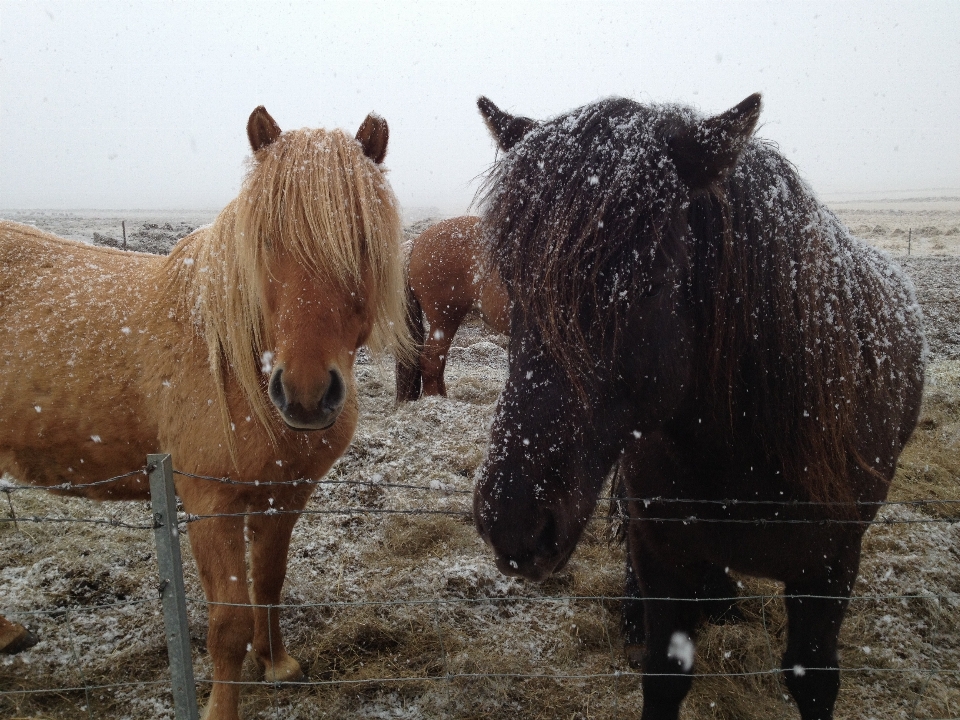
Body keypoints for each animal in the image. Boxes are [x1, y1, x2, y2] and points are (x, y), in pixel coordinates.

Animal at [0, 107, 408, 720]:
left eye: (360, 240)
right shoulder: (209, 503)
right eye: (265, 239)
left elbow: (270, 582)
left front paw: (278, 663)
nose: (306, 395)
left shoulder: (283, 494)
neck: (233, 364)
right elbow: (227, 623)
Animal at [472, 94, 924, 720]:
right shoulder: (662, 551)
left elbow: (814, 680)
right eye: (513, 282)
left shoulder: (830, 569)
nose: (512, 525)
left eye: (652, 283)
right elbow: (664, 673)